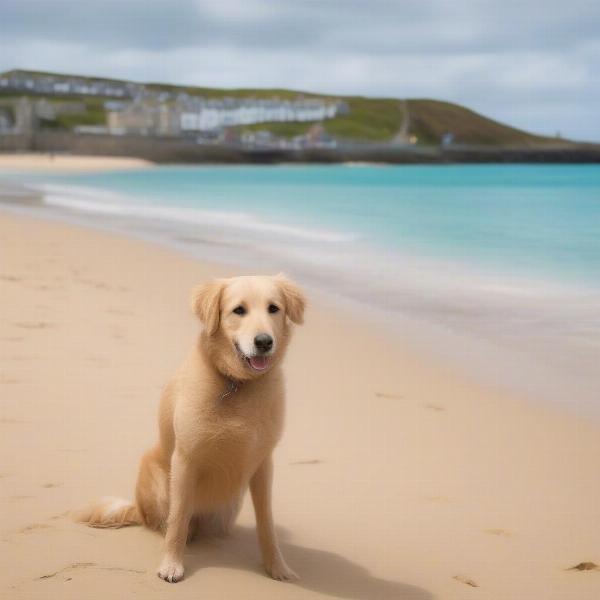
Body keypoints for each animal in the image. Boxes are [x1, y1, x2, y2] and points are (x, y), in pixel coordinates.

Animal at [76, 276, 304, 580]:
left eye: (273, 308)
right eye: (239, 310)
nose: (265, 342)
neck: (237, 384)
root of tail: (137, 508)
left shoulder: (263, 464)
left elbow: (266, 523)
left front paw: (278, 568)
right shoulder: (186, 459)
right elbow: (178, 520)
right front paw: (171, 565)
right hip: (155, 474)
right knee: (166, 522)